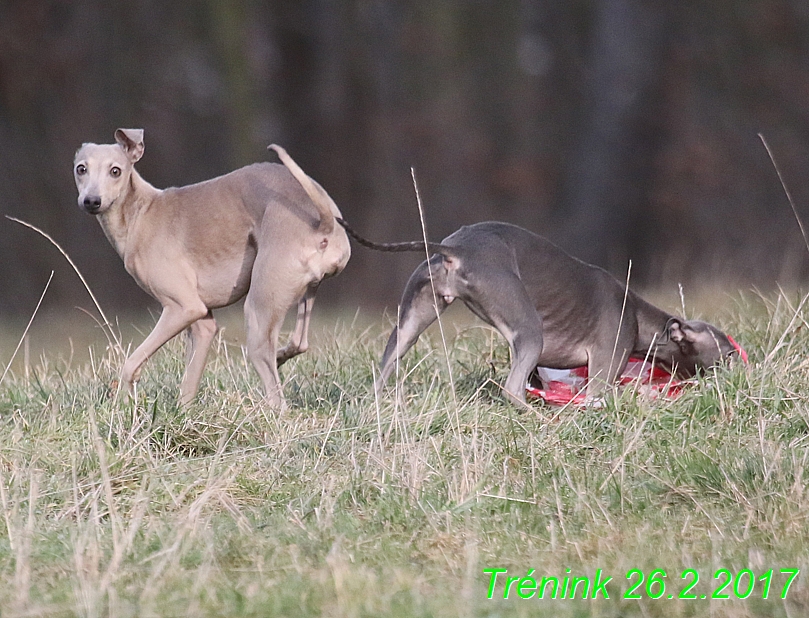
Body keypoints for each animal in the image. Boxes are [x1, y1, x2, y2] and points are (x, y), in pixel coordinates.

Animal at [338, 220, 736, 404]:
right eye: (729, 351)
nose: (742, 365)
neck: (639, 316)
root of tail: (456, 249)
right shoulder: (606, 362)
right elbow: (599, 395)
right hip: (527, 324)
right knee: (512, 388)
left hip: (413, 316)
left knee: (387, 363)